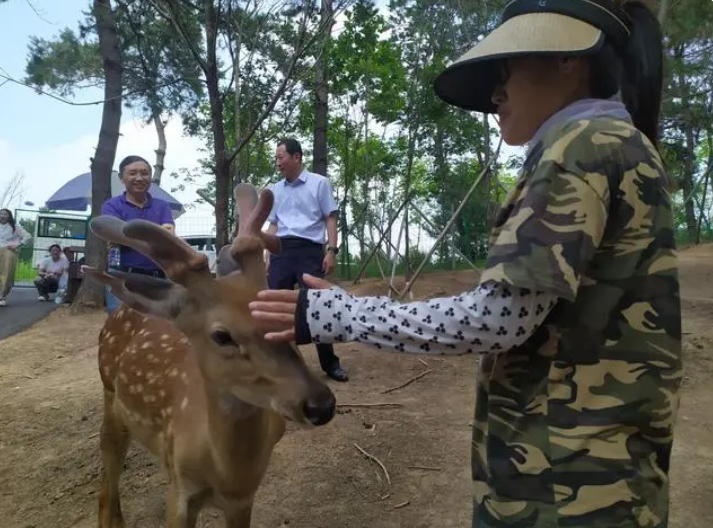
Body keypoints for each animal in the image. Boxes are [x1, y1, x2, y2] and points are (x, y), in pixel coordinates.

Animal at [82, 183, 336, 528]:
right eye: (221, 335)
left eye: (285, 319)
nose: (321, 405)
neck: (226, 474)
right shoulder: (179, 490)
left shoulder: (244, 499)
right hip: (110, 399)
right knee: (105, 492)